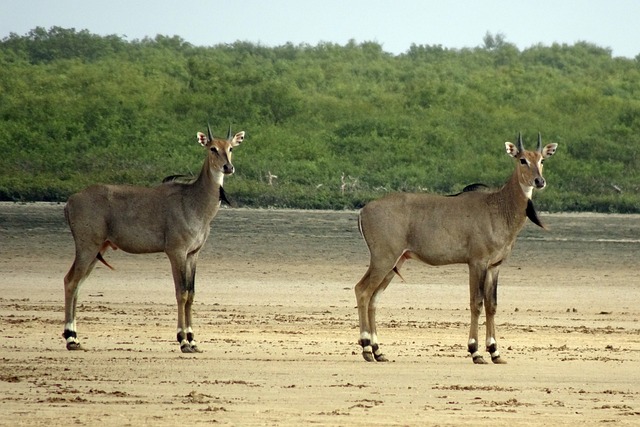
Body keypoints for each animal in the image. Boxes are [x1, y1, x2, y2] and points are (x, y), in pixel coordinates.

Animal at [62, 125, 246, 352]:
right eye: (212, 148)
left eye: (230, 148)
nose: (228, 167)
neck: (195, 202)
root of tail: (70, 201)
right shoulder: (176, 251)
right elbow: (181, 293)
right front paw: (183, 340)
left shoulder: (193, 254)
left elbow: (191, 293)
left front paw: (193, 340)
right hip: (87, 246)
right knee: (71, 281)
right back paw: (70, 338)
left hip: (99, 249)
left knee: (77, 283)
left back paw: (75, 337)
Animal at [352, 133, 556, 364]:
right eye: (522, 160)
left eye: (542, 160)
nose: (539, 181)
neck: (498, 207)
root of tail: (363, 210)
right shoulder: (476, 262)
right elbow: (476, 302)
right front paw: (475, 351)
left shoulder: (495, 266)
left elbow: (492, 304)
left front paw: (495, 352)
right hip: (383, 258)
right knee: (362, 290)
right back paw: (366, 348)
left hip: (396, 261)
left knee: (374, 298)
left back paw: (378, 351)